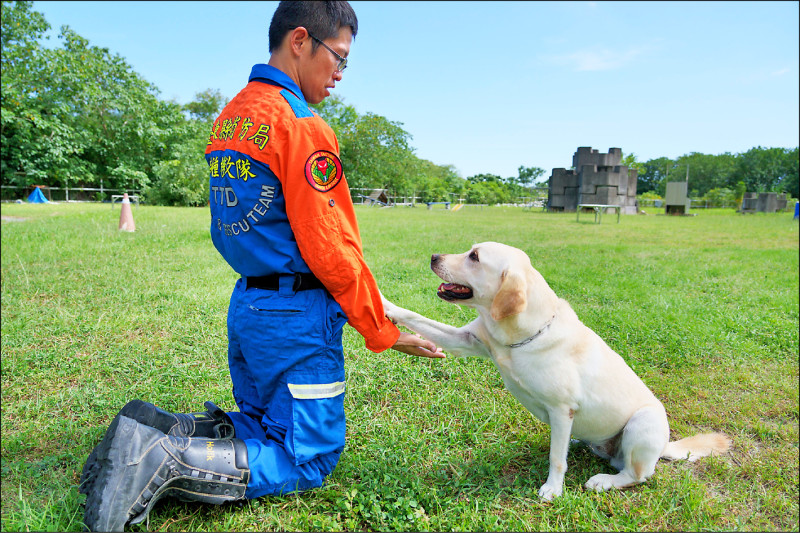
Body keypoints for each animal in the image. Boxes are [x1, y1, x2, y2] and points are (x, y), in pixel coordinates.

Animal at [382, 241, 732, 498]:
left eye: (474, 257)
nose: (433, 256)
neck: (519, 336)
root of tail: (664, 448)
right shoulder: (465, 340)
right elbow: (416, 316)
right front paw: (385, 304)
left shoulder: (562, 408)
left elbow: (555, 459)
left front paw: (553, 490)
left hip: (642, 423)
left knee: (637, 475)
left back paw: (604, 480)